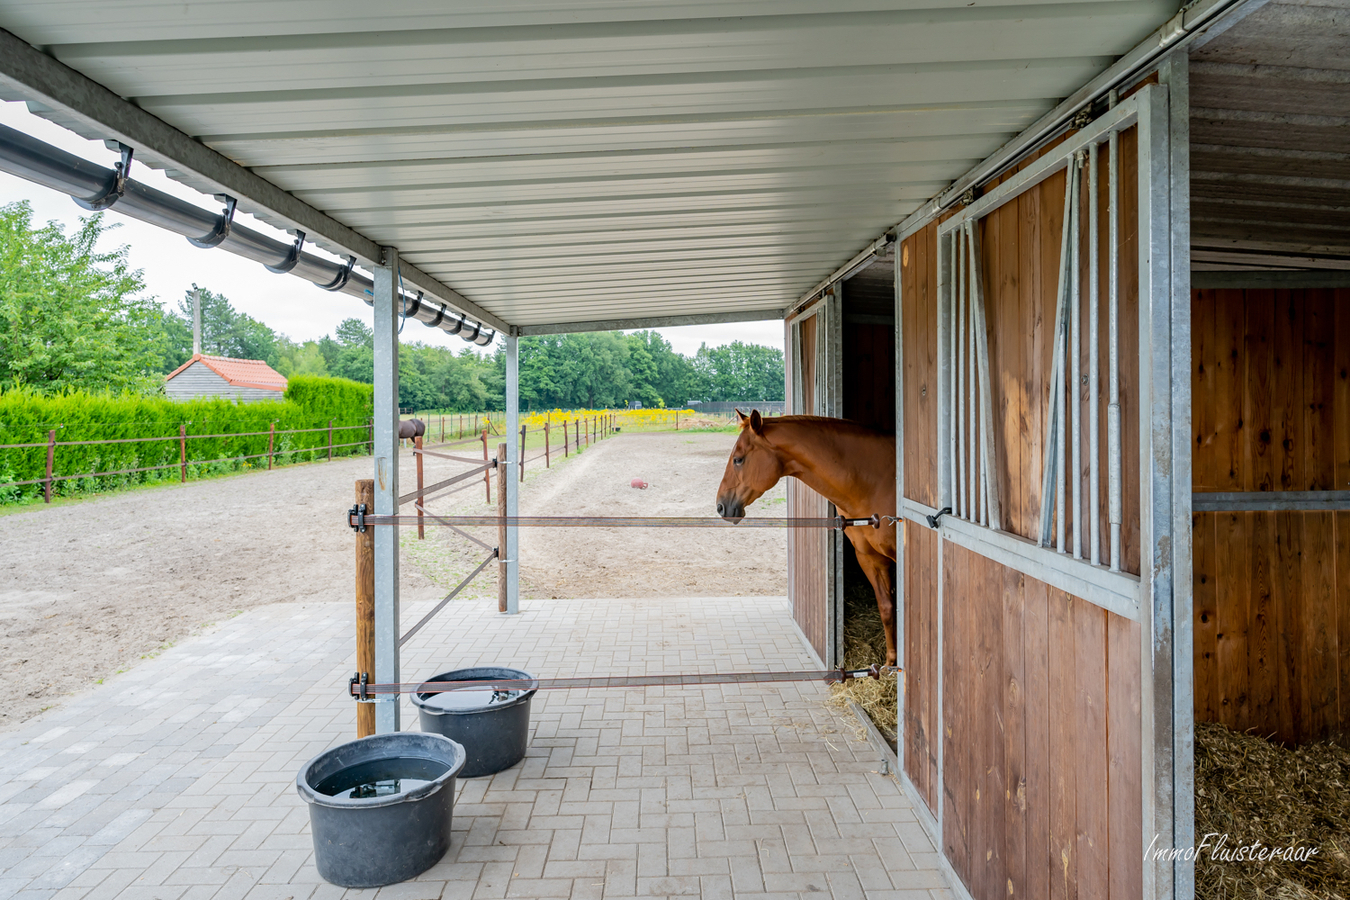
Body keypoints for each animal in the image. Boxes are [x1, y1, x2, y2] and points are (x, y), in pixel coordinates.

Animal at [718, 412, 896, 666]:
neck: (875, 481)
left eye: (738, 459)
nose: (721, 506)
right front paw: (890, 665)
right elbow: (887, 609)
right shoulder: (870, 558)